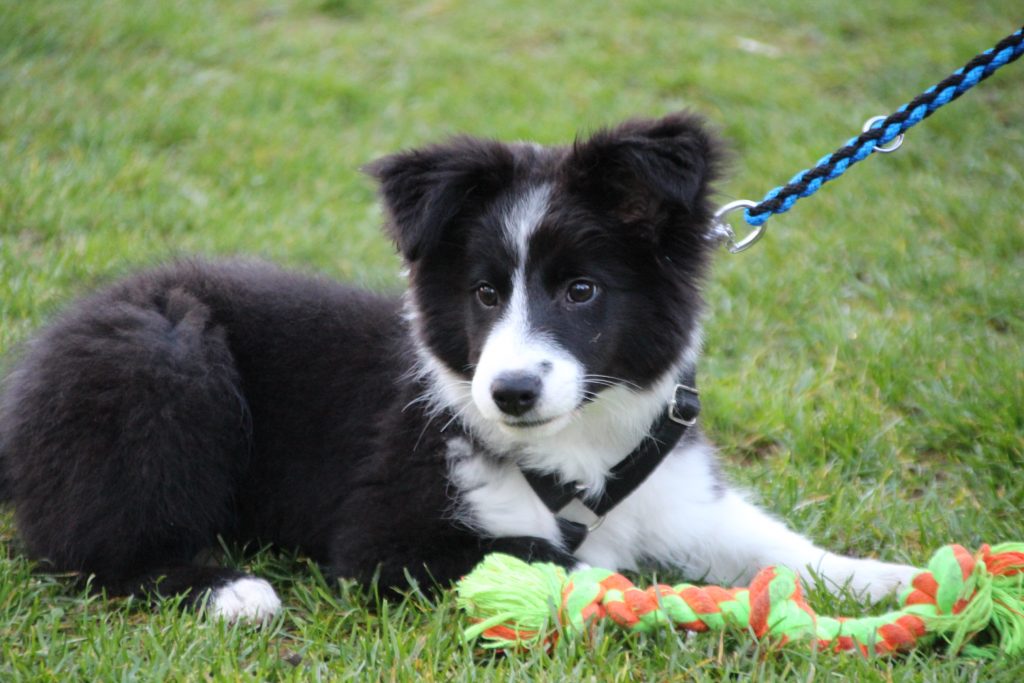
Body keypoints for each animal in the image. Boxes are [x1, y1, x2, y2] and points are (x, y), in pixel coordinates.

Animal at [0, 113, 913, 626]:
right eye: (484, 292)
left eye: (582, 290)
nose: (510, 391)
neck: (574, 450)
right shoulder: (383, 538)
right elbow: (549, 555)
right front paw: (670, 597)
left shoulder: (676, 491)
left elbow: (776, 545)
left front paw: (890, 577)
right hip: (162, 358)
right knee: (94, 546)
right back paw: (231, 591)